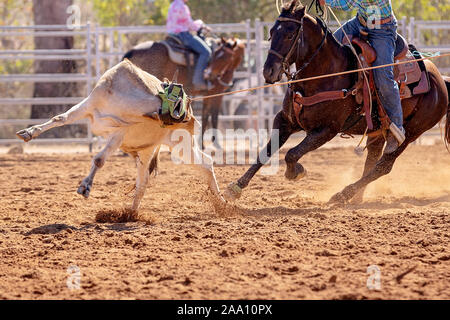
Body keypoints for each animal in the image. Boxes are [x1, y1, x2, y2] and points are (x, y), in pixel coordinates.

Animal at [17, 60, 225, 212]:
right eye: (176, 102)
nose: (190, 120)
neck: (123, 98)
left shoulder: (118, 134)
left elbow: (99, 159)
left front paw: (85, 187)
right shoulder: (87, 107)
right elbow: (60, 118)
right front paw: (28, 133)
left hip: (181, 145)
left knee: (206, 164)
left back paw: (222, 202)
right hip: (148, 150)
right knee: (143, 180)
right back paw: (130, 213)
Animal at [229, 0, 450, 204]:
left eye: (290, 35)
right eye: (272, 32)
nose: (269, 71)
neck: (325, 74)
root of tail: (440, 80)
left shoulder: (327, 129)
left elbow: (291, 153)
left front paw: (296, 172)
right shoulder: (284, 120)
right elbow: (265, 152)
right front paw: (236, 187)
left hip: (412, 132)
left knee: (384, 165)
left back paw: (342, 194)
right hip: (377, 132)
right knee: (372, 160)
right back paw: (356, 198)